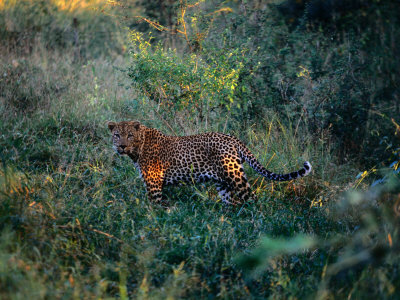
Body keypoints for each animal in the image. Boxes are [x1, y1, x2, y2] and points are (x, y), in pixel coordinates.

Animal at [108, 120, 310, 205]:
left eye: (130, 135)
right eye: (117, 135)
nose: (122, 146)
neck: (137, 149)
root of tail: (232, 138)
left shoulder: (153, 184)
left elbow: (154, 207)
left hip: (234, 175)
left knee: (252, 199)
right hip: (223, 182)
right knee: (231, 203)